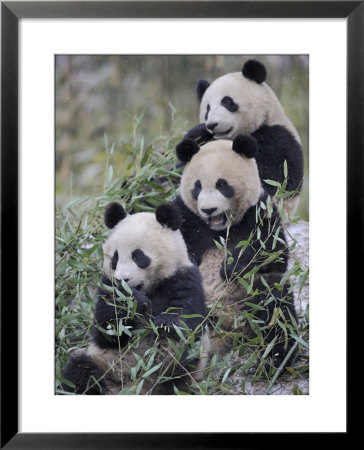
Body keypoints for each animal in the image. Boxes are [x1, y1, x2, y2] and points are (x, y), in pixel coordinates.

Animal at [174, 136, 298, 370]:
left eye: (222, 185)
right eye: (197, 187)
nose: (209, 210)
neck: (220, 229)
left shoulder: (260, 212)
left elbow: (274, 253)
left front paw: (230, 267)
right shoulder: (186, 215)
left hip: (249, 296)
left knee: (275, 306)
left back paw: (276, 360)